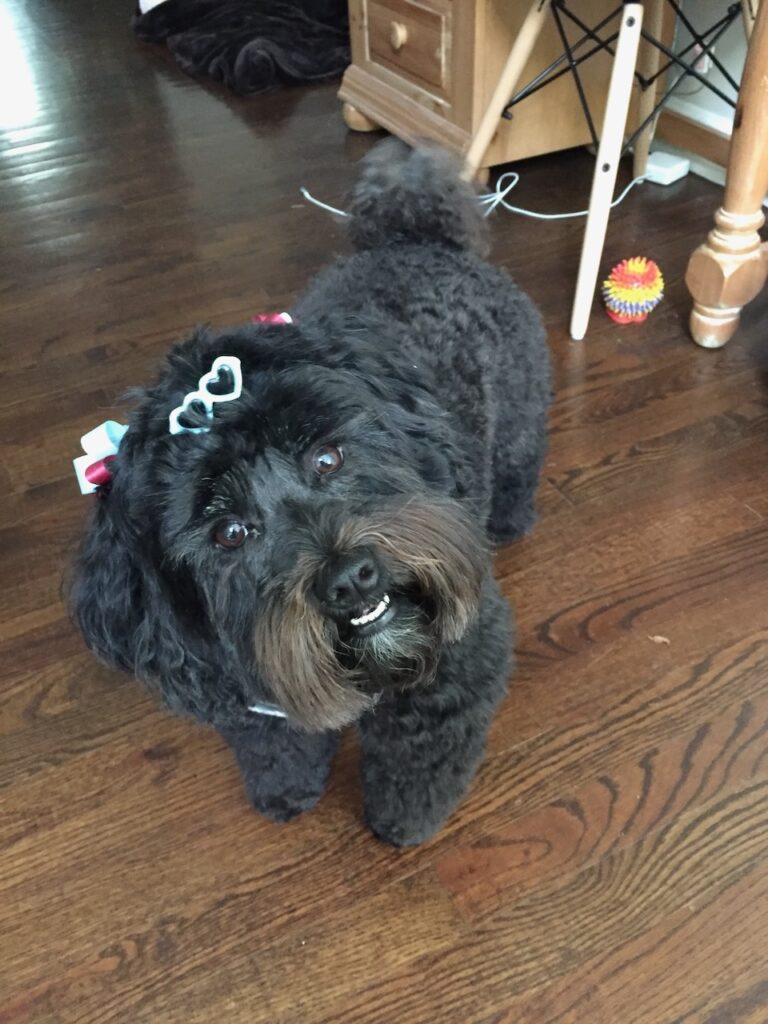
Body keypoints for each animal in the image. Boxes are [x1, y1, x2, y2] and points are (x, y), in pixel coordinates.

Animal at [70, 144, 552, 847]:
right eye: (229, 532)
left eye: (327, 457)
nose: (349, 578)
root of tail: (415, 237)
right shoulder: (253, 689)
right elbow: (276, 746)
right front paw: (285, 792)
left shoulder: (456, 664)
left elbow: (420, 756)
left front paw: (404, 822)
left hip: (519, 409)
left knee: (519, 459)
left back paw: (511, 517)